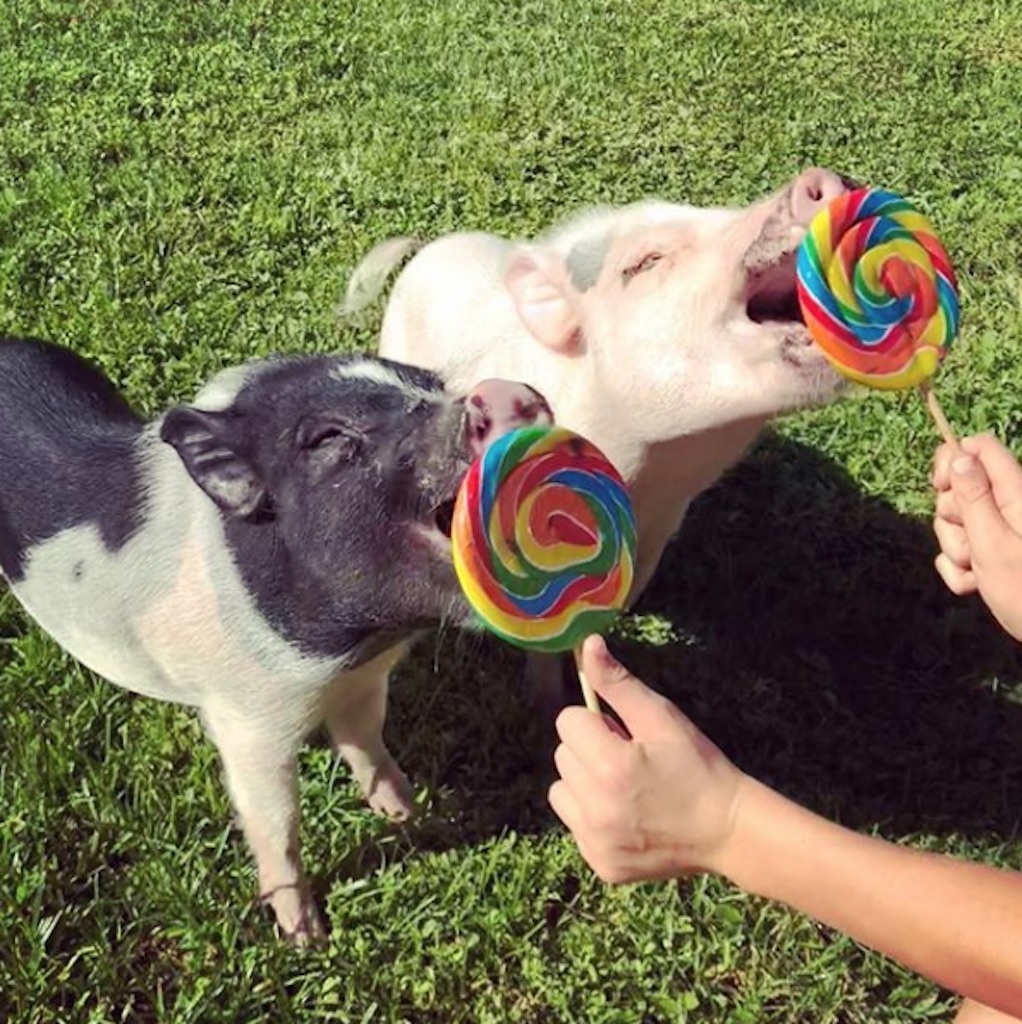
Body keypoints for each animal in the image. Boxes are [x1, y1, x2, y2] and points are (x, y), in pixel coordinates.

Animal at [0, 336, 551, 942]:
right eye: (328, 438)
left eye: (432, 386)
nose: (505, 392)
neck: (350, 651)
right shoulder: (246, 721)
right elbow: (275, 819)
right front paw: (306, 937)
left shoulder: (366, 682)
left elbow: (367, 740)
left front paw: (408, 812)